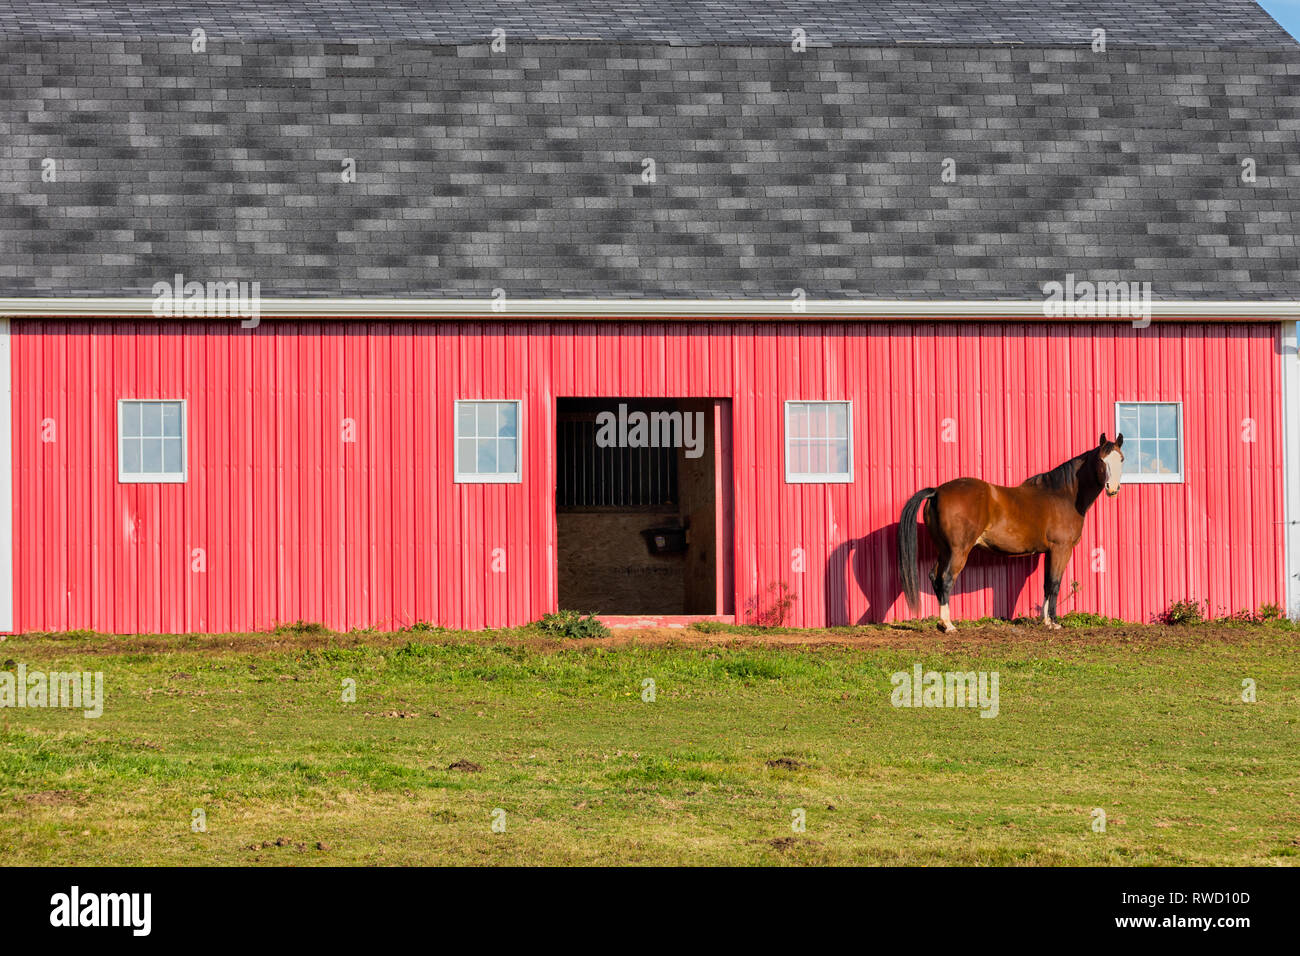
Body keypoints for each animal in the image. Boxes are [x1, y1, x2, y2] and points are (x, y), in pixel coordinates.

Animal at [899, 431, 1123, 629]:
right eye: (1101, 460)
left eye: (1121, 459)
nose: (1112, 488)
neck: (1062, 495)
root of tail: (937, 491)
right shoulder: (1061, 549)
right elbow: (1054, 584)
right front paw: (1054, 622)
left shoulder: (1049, 552)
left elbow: (1046, 584)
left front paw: (1045, 620)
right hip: (958, 551)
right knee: (945, 579)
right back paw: (948, 625)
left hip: (944, 550)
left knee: (935, 577)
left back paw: (941, 622)